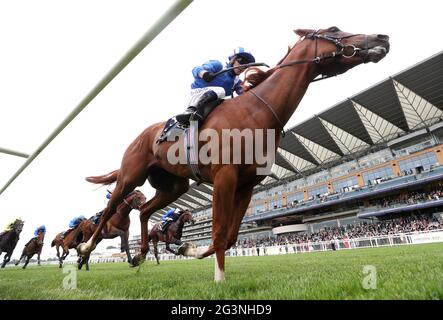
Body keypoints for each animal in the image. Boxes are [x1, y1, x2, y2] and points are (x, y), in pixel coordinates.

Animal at [78, 26, 390, 282]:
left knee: (144, 211)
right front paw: (219, 278)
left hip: (174, 186)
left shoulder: (246, 185)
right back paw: (85, 247)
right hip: (131, 175)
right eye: (334, 29)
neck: (256, 111)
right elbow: (218, 232)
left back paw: (140, 254)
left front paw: (190, 249)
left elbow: (229, 238)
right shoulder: (224, 177)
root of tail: (141, 136)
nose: (382, 37)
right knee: (110, 207)